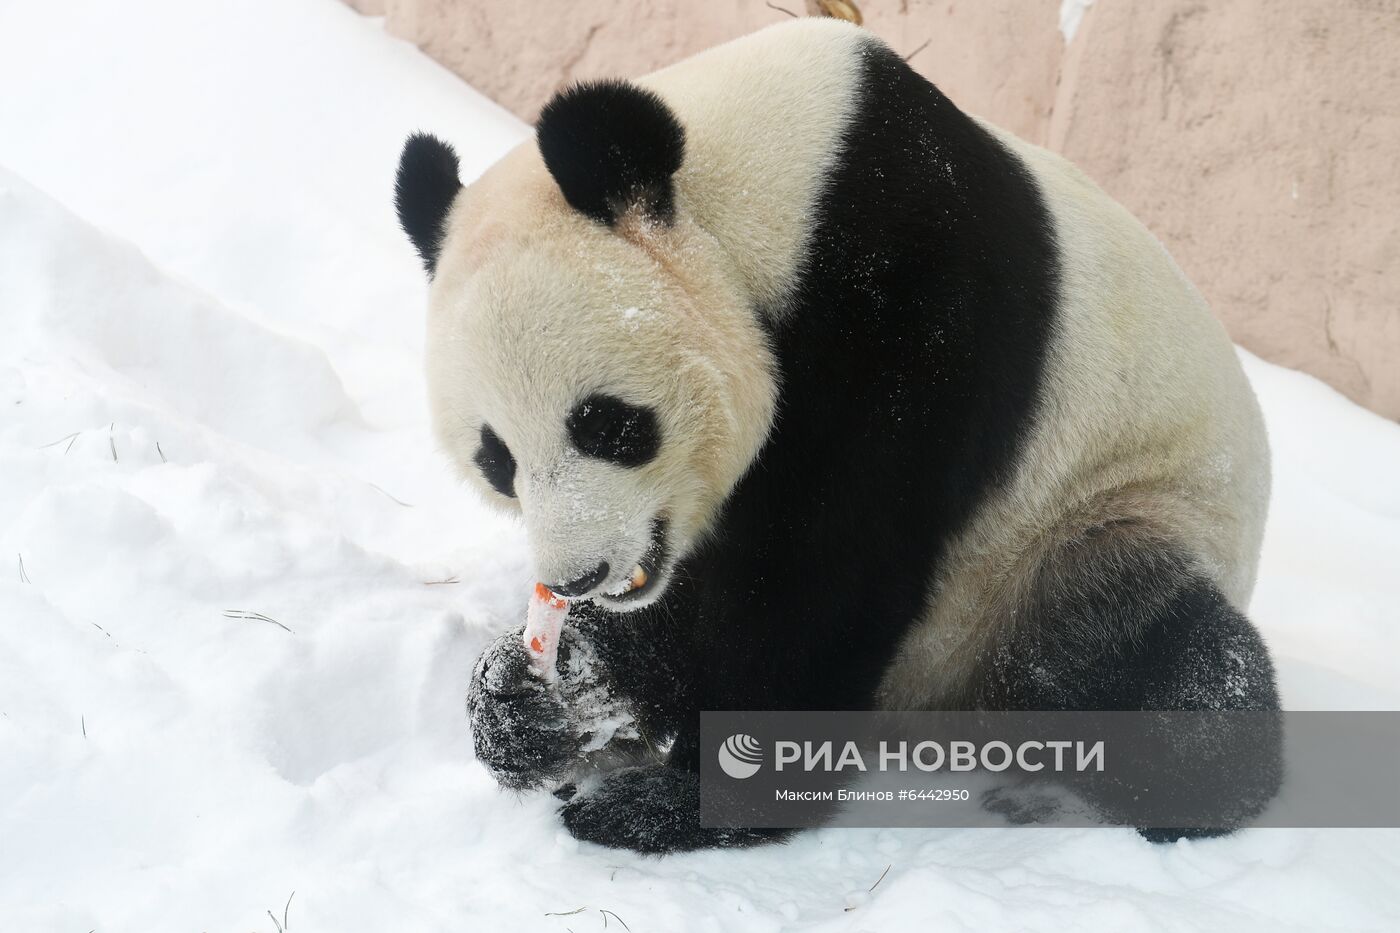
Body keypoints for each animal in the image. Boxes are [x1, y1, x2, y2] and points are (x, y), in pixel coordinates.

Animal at [392, 19, 1282, 851]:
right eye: (496, 461)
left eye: (607, 424)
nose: (578, 578)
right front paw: (532, 694)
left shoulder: (907, 299)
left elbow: (827, 561)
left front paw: (681, 803)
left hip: (1093, 521)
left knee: (1139, 660)